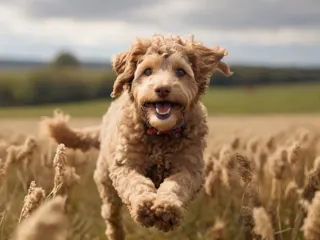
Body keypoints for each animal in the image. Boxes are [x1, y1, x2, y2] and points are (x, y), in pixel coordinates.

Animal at [42, 34, 232, 240]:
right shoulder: (125, 164)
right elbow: (135, 183)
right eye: (147, 71)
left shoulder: (191, 167)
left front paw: (167, 207)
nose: (162, 89)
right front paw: (145, 205)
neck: (160, 134)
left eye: (181, 71)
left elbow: (177, 184)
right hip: (106, 183)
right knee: (112, 216)